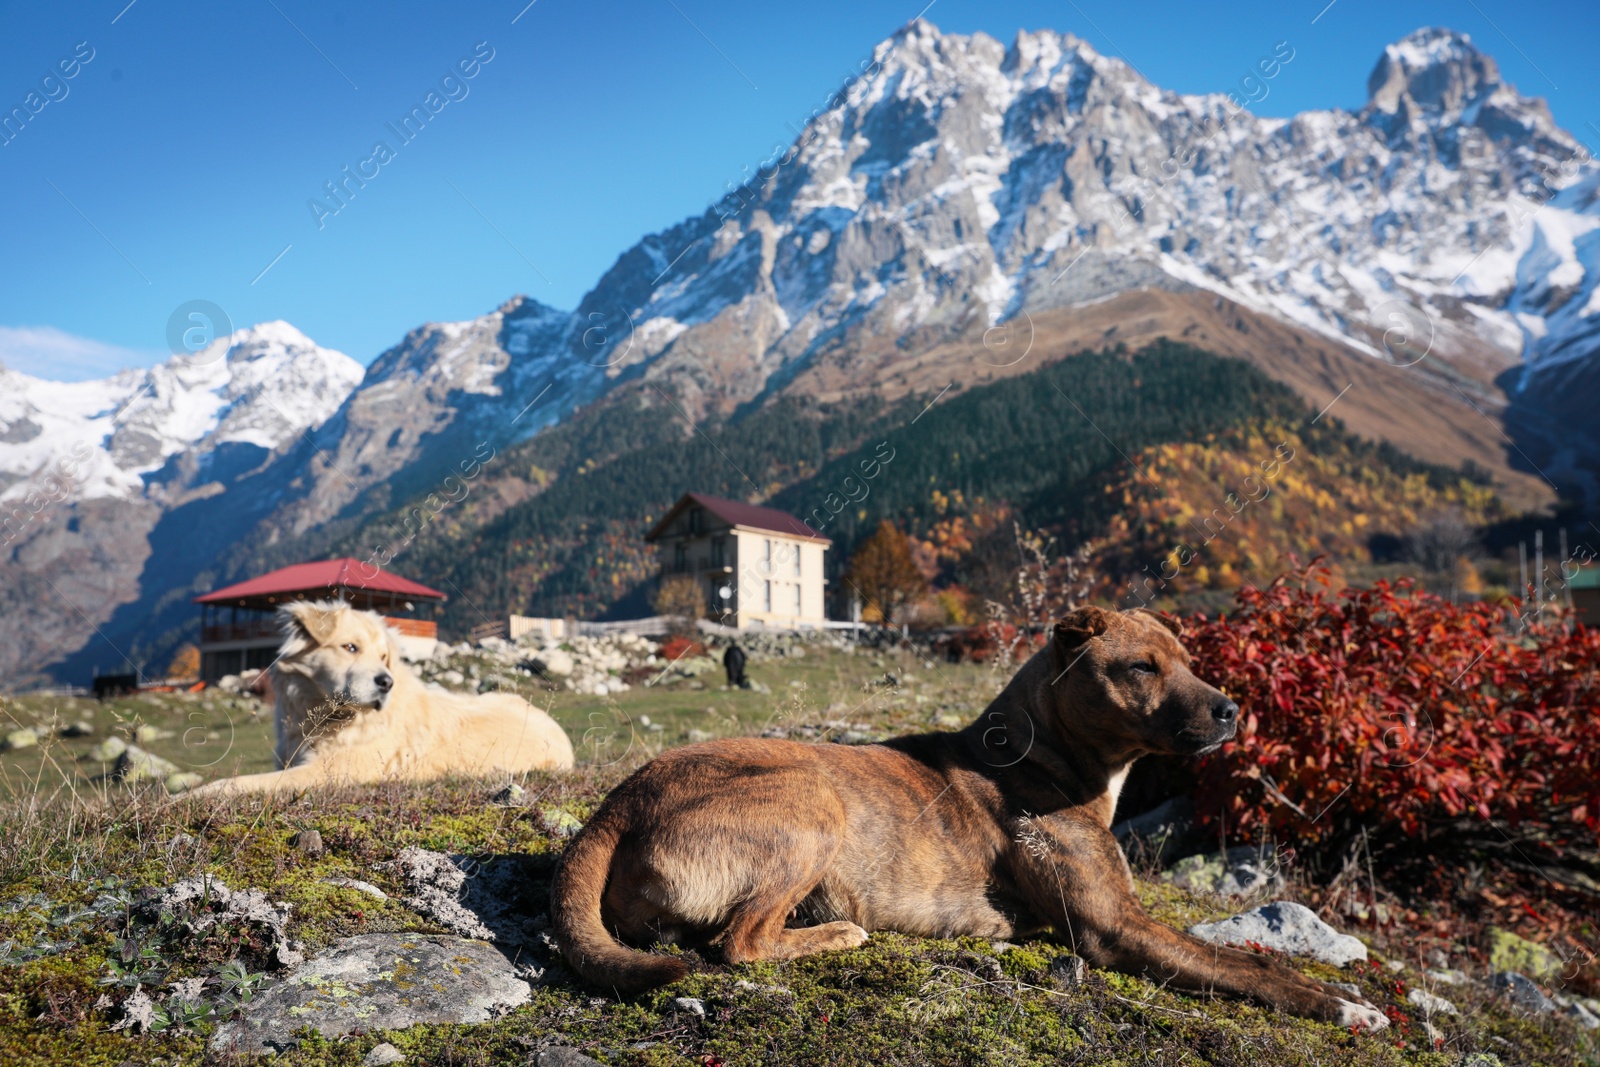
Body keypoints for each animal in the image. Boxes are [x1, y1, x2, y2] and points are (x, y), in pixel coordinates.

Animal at [193, 601, 572, 793]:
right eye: (350, 647)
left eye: (384, 657)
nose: (385, 683)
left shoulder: (326, 773)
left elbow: (235, 783)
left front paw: (189, 795)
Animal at [550, 604, 1388, 1030]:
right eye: (1141, 667)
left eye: (1186, 657)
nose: (1231, 710)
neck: (1042, 754)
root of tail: (617, 804)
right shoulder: (1115, 926)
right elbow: (1246, 966)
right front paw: (1342, 1005)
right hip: (812, 799)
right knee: (739, 942)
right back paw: (836, 931)